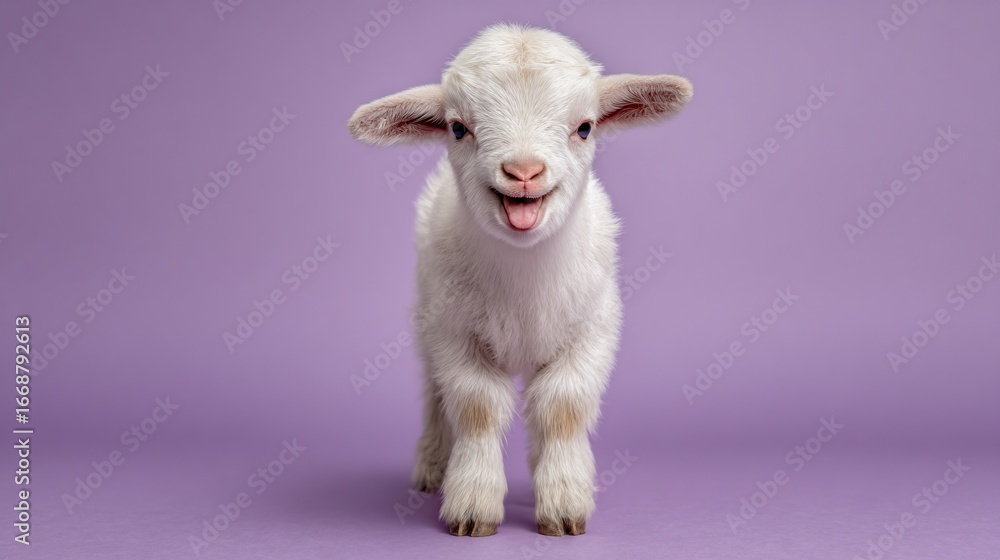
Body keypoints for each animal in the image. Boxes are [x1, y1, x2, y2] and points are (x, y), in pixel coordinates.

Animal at [348, 23, 692, 537]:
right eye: (457, 127)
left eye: (585, 127)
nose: (524, 172)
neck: (524, 277)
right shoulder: (455, 334)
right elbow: (477, 408)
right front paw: (472, 505)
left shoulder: (591, 331)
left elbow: (561, 408)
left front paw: (564, 501)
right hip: (427, 319)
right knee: (434, 392)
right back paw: (432, 465)